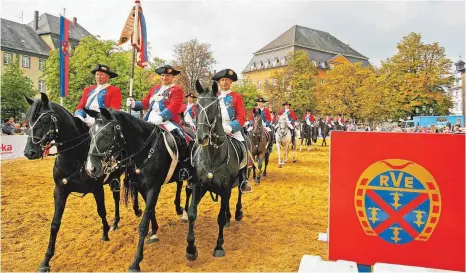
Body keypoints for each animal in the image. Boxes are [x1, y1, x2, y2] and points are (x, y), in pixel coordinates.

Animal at [23, 92, 124, 270]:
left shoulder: (97, 189)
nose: (30, 152)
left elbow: (101, 211)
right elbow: (55, 223)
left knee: (118, 198)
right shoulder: (60, 190)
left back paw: (117, 222)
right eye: (28, 120)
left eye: (44, 120)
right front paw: (46, 260)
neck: (75, 155)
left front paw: (105, 234)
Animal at [83, 107, 193, 270]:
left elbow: (143, 225)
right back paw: (179, 208)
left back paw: (186, 213)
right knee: (180, 185)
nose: (91, 169)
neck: (145, 150)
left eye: (107, 133)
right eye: (90, 133)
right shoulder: (141, 187)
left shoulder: (154, 187)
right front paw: (154, 231)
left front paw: (136, 261)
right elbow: (150, 210)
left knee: (188, 190)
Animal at [185, 79, 248, 260]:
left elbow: (219, 218)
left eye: (214, 107)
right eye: (196, 106)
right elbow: (192, 213)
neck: (212, 156)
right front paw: (191, 248)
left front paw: (219, 246)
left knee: (239, 193)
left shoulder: (225, 188)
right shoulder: (199, 186)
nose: (201, 137)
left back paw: (237, 213)